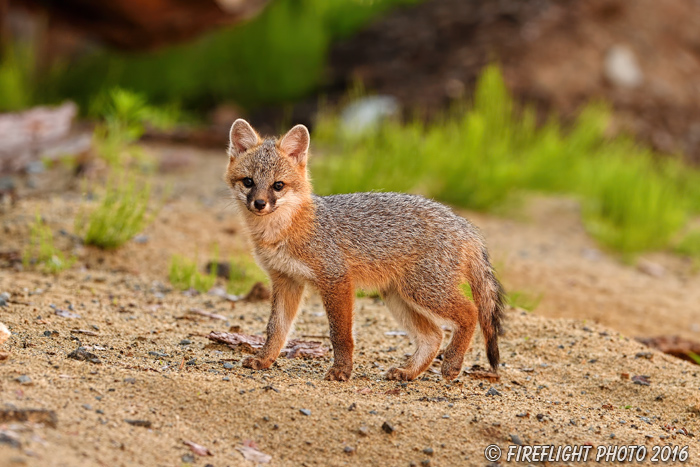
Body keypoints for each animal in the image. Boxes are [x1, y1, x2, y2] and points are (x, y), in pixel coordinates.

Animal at [224, 119, 504, 382]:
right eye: (249, 182)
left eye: (278, 185)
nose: (259, 203)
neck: (283, 232)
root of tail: (464, 224)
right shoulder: (285, 280)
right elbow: (276, 328)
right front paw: (264, 359)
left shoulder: (336, 280)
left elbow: (340, 334)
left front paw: (341, 370)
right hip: (399, 297)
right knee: (433, 336)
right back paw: (408, 372)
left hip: (424, 292)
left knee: (470, 312)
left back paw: (452, 363)